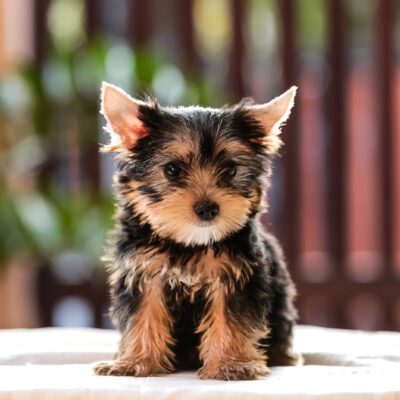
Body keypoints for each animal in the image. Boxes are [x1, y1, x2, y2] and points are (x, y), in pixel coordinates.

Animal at [94, 82, 300, 382]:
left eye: (230, 170)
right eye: (172, 170)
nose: (208, 209)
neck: (189, 242)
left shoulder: (234, 274)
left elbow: (230, 318)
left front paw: (231, 365)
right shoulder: (143, 271)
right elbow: (144, 314)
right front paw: (136, 363)